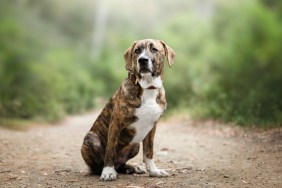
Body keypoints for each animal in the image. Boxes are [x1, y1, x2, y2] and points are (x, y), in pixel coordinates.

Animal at [80, 38, 175, 181]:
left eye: (154, 49)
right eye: (137, 51)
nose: (142, 60)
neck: (148, 88)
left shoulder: (152, 126)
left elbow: (149, 152)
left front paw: (154, 171)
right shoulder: (115, 123)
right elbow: (110, 149)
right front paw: (108, 172)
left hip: (135, 145)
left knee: (120, 165)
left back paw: (131, 168)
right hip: (91, 138)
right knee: (98, 167)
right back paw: (108, 170)